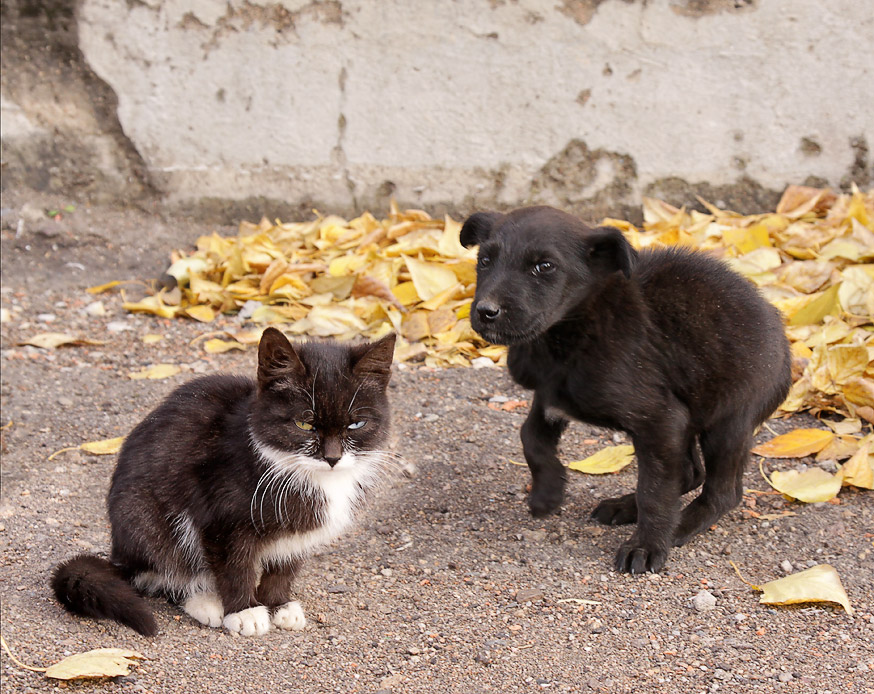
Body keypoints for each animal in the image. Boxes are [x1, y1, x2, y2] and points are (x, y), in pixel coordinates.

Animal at [49, 328, 396, 640]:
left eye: (356, 423)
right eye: (304, 423)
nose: (333, 458)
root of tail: (119, 554)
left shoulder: (297, 529)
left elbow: (286, 559)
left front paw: (278, 604)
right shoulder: (219, 512)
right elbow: (233, 565)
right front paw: (245, 612)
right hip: (142, 516)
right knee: (164, 568)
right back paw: (205, 600)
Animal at [460, 207, 792, 576]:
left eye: (544, 266)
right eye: (484, 260)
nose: (486, 312)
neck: (573, 331)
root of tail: (786, 348)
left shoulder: (659, 419)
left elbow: (655, 491)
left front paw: (646, 546)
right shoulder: (551, 398)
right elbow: (529, 436)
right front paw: (548, 492)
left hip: (729, 421)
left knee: (722, 491)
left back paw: (680, 525)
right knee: (690, 473)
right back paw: (623, 507)